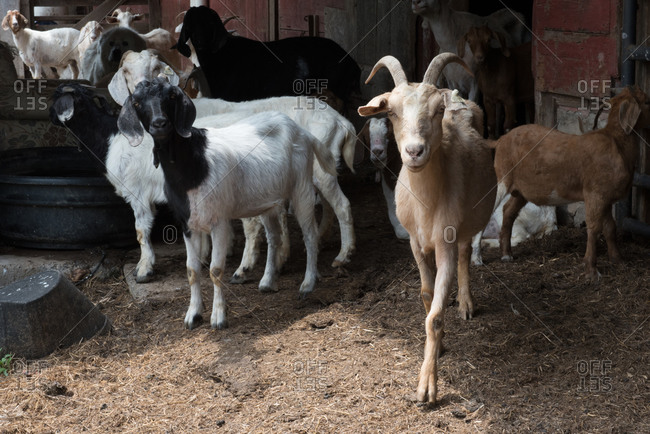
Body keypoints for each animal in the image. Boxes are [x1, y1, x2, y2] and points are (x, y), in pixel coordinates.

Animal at [108, 49, 357, 278]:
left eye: (156, 68)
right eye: (126, 71)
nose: (141, 87)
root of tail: (340, 121)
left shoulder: (141, 191)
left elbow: (141, 229)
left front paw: (144, 269)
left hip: (319, 171)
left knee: (342, 205)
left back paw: (343, 256)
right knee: (326, 205)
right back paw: (320, 241)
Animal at [117, 78, 337, 329]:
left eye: (171, 96)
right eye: (136, 102)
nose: (159, 123)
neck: (194, 166)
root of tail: (304, 133)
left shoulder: (219, 221)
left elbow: (215, 269)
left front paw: (218, 317)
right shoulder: (187, 224)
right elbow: (192, 269)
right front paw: (193, 315)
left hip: (302, 187)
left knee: (310, 235)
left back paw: (308, 284)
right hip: (268, 201)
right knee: (274, 236)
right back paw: (267, 281)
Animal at [359, 53, 497, 403]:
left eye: (436, 111)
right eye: (391, 112)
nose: (414, 151)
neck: (426, 204)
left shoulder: (445, 240)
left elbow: (433, 317)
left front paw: (426, 387)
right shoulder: (414, 242)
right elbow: (426, 295)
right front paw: (441, 345)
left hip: (468, 222)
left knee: (465, 252)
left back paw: (465, 303)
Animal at [493, 86, 650, 280]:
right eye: (647, 101)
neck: (617, 143)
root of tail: (500, 140)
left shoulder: (605, 197)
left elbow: (610, 227)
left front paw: (618, 259)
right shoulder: (594, 194)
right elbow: (594, 228)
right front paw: (591, 270)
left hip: (521, 190)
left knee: (508, 211)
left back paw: (506, 254)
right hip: (501, 179)